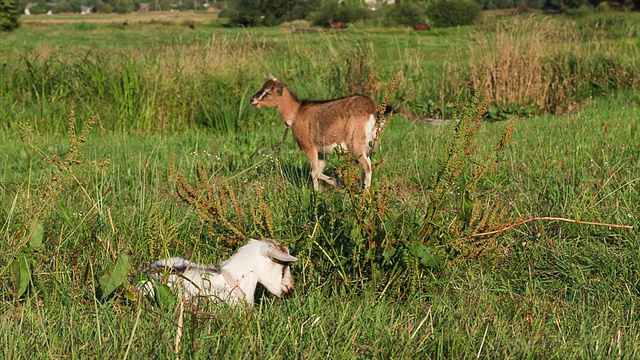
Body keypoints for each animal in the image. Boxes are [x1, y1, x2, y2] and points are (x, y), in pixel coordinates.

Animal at [250, 73, 380, 191]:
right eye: (262, 87)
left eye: (268, 92)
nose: (252, 100)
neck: (296, 113)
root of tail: (372, 108)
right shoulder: (321, 151)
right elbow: (317, 171)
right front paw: (335, 182)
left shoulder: (309, 146)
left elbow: (313, 172)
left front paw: (316, 193)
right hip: (367, 145)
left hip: (355, 143)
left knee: (367, 166)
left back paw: (366, 193)